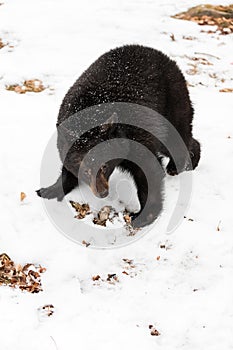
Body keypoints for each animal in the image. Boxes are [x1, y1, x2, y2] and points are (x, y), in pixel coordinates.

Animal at [36, 44, 200, 227]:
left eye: (104, 166)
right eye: (85, 170)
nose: (102, 192)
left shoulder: (137, 137)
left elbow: (148, 170)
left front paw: (144, 215)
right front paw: (50, 190)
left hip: (172, 106)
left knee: (177, 141)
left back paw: (180, 164)